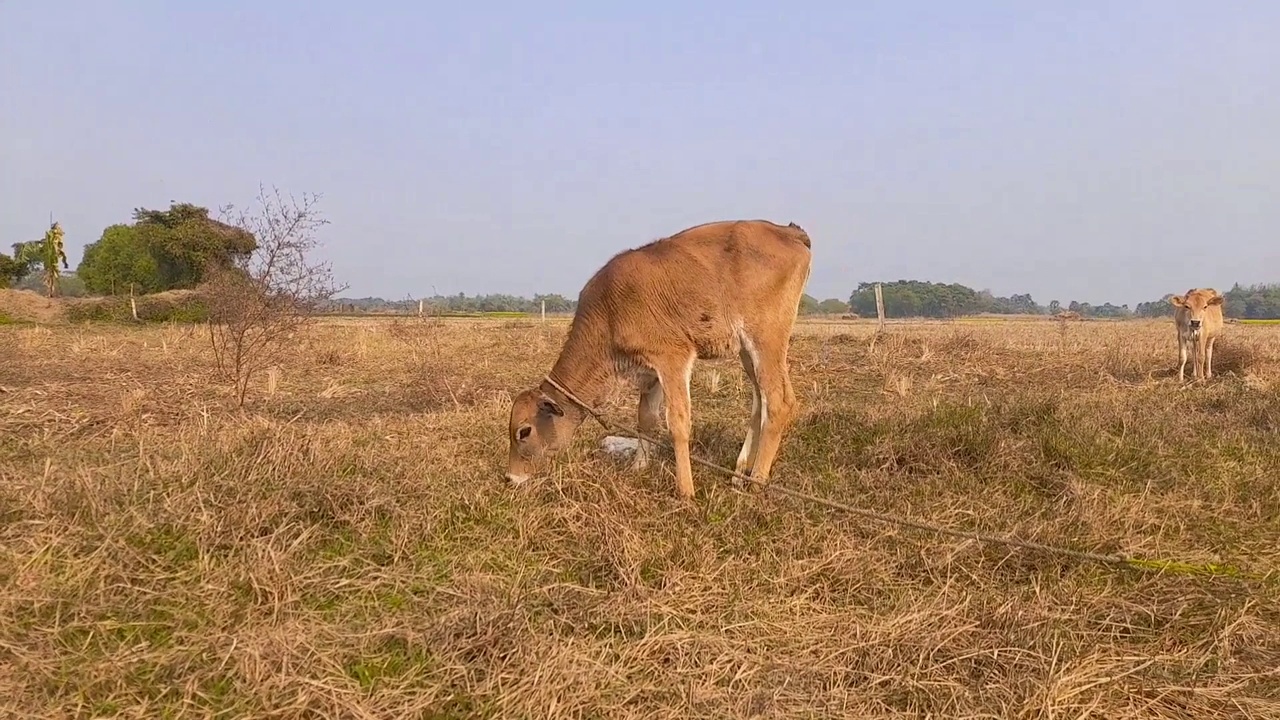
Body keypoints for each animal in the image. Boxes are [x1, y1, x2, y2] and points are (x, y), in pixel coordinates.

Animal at [499, 219, 808, 499]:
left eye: (524, 432)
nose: (511, 478)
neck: (609, 311)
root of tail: (788, 231)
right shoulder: (649, 372)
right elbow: (645, 419)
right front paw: (638, 467)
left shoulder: (672, 357)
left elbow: (678, 422)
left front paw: (686, 491)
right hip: (746, 349)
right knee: (760, 401)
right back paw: (739, 473)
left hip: (766, 339)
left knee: (779, 401)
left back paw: (756, 480)